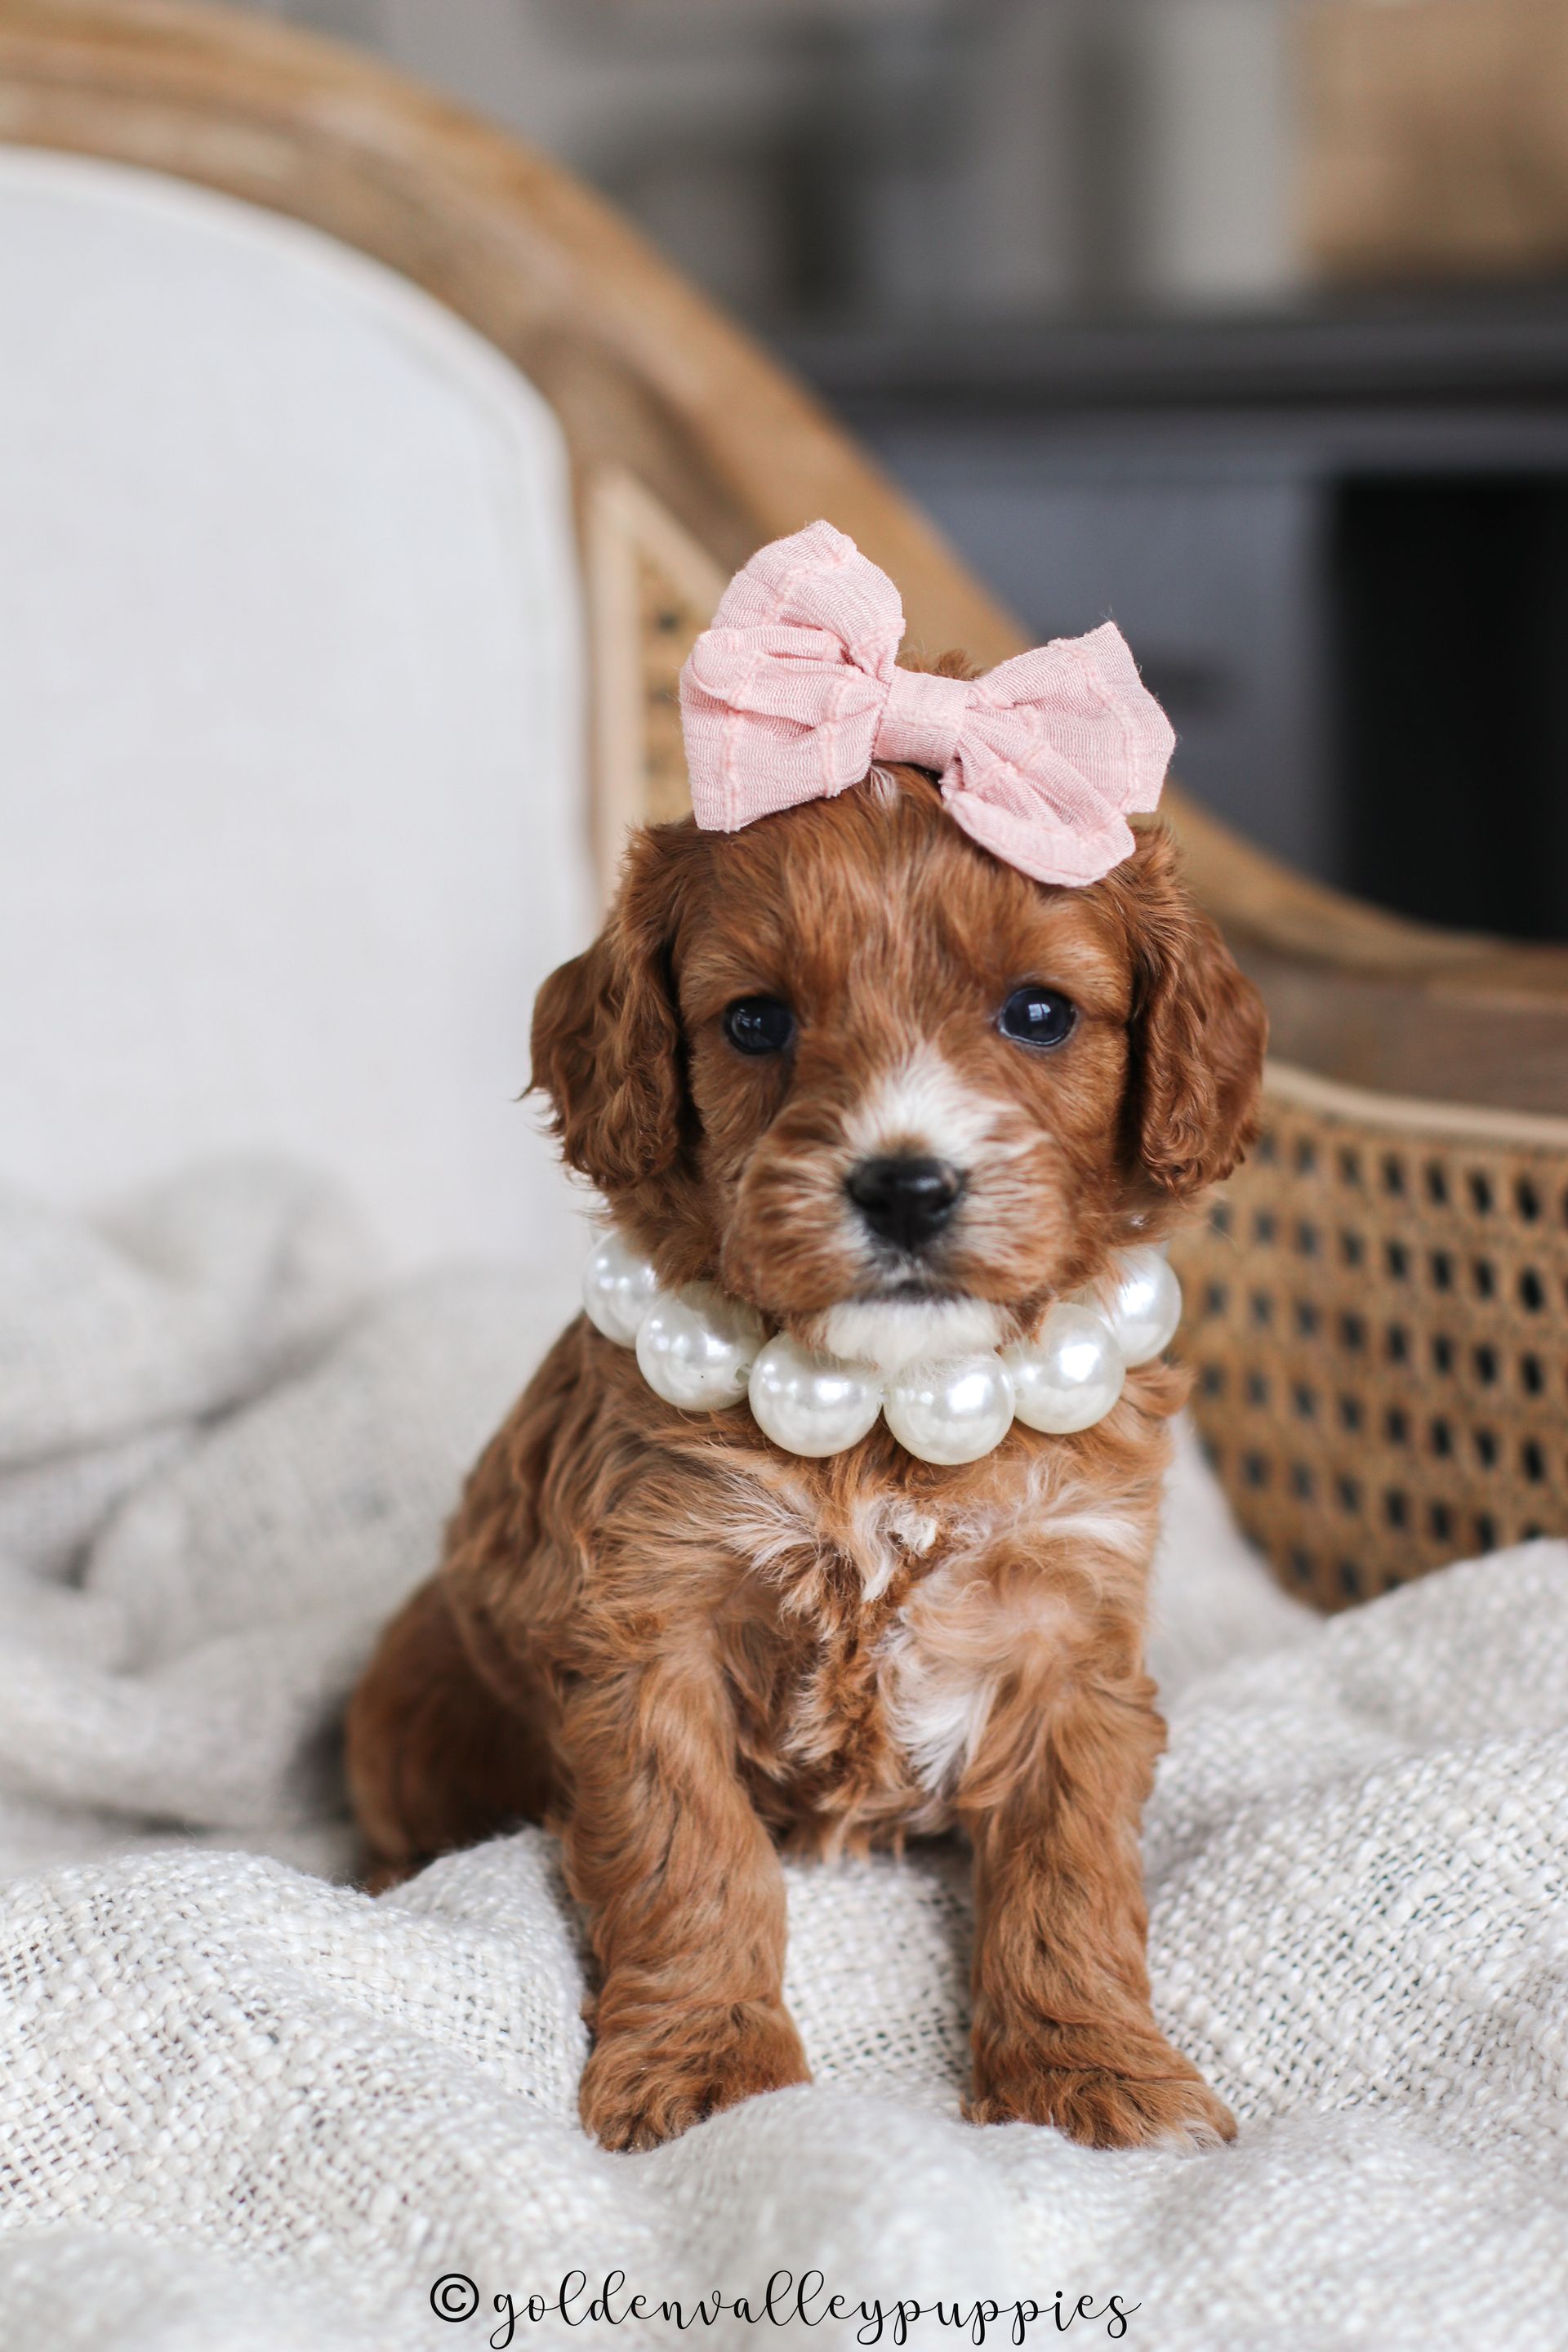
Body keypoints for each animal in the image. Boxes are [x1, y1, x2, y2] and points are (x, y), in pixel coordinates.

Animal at [346, 528, 1266, 2156]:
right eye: (759, 1022)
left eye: (1041, 1012)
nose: (905, 1184)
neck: (891, 1419)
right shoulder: (645, 1631)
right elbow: (686, 1857)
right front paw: (710, 2071)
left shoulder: (1075, 1642)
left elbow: (1071, 1874)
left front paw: (1094, 2075)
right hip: (408, 1690)